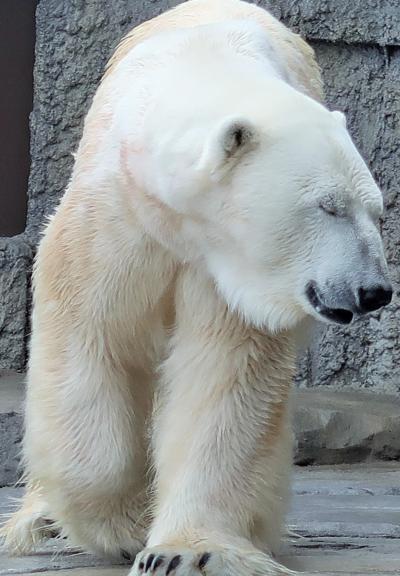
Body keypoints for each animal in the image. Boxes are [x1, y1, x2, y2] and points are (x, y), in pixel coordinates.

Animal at [3, 1, 390, 576]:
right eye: (328, 206)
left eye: (376, 210)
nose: (375, 291)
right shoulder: (115, 219)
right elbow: (91, 339)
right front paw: (121, 525)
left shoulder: (232, 271)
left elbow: (224, 376)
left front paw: (184, 550)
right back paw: (41, 521)